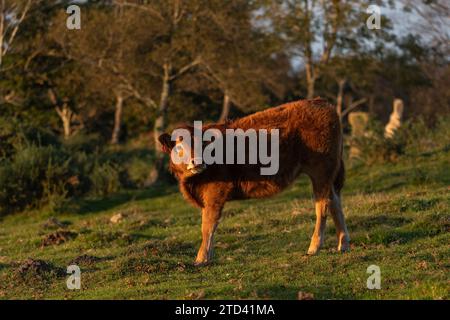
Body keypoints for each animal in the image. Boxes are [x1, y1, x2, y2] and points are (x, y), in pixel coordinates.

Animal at [159, 98, 352, 264]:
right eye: (179, 147)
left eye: (202, 145)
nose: (198, 161)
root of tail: (321, 102)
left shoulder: (215, 193)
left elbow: (207, 225)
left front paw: (201, 259)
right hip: (327, 175)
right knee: (335, 202)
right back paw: (343, 244)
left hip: (320, 171)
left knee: (322, 206)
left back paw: (314, 247)